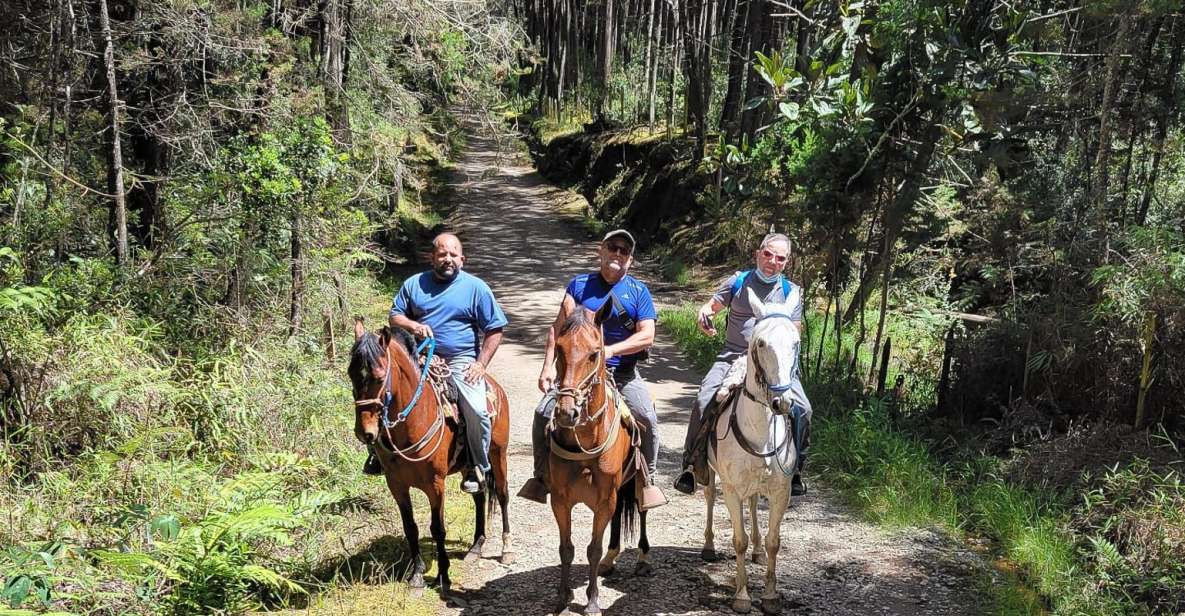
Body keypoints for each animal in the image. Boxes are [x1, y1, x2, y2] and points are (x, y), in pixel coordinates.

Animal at [343, 319, 509, 594]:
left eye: (379, 377)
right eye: (350, 374)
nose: (364, 432)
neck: (410, 424)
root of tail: (494, 385)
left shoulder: (435, 484)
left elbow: (438, 528)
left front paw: (443, 576)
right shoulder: (396, 484)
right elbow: (410, 527)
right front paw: (417, 575)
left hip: (498, 454)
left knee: (503, 496)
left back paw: (506, 548)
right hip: (469, 467)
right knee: (480, 495)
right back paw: (476, 546)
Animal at [545, 303, 649, 616]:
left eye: (594, 353)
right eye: (560, 350)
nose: (566, 413)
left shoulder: (604, 499)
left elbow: (593, 548)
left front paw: (591, 601)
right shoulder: (560, 499)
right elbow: (566, 548)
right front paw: (562, 597)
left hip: (636, 483)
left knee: (641, 509)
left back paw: (642, 559)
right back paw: (611, 560)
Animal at [701, 289, 805, 616]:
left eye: (795, 343)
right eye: (761, 343)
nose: (782, 402)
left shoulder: (782, 490)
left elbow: (773, 541)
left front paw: (770, 596)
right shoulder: (732, 490)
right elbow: (739, 541)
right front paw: (742, 596)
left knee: (754, 506)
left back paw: (757, 550)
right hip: (711, 476)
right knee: (710, 499)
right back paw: (708, 547)